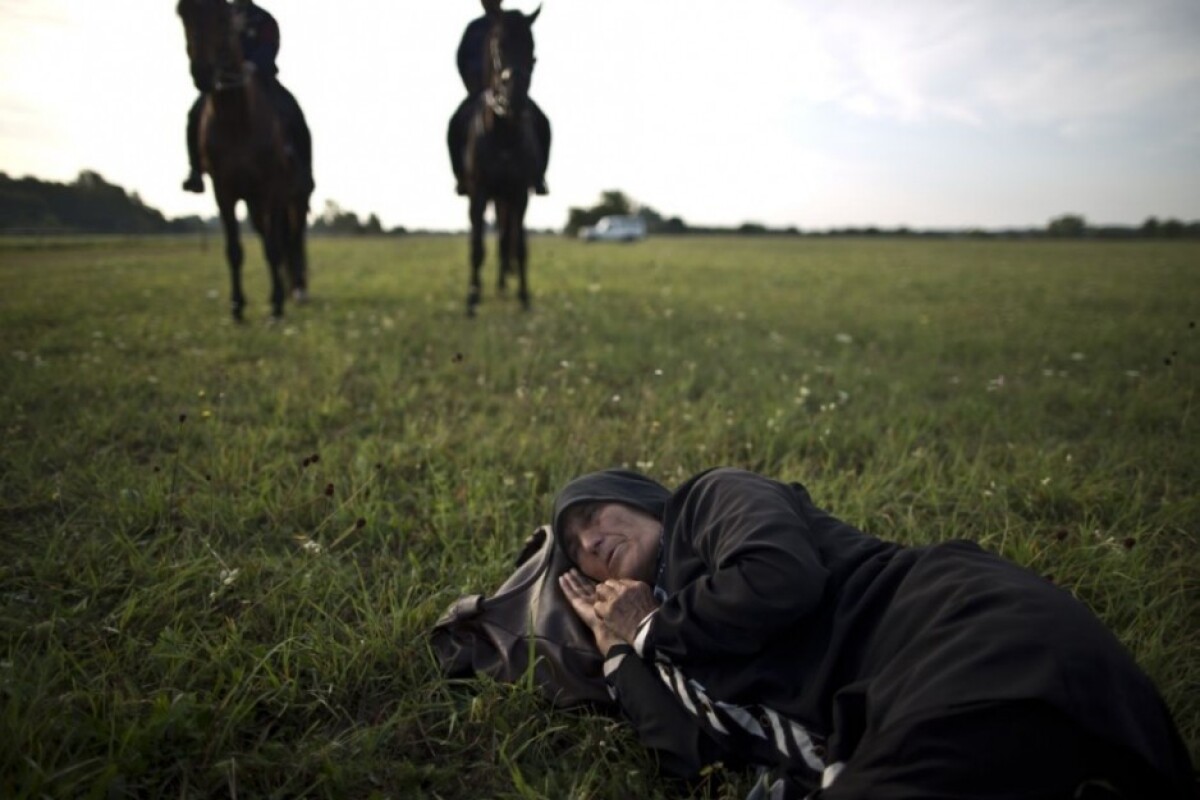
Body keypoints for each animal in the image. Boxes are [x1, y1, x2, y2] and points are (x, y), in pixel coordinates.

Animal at [176, 0, 312, 319]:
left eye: (222, 19)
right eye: (182, 15)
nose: (202, 74)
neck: (236, 120)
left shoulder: (271, 189)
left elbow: (274, 248)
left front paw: (275, 307)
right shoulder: (224, 191)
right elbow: (235, 250)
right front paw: (237, 307)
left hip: (294, 198)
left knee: (293, 239)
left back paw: (297, 290)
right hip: (254, 204)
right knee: (275, 241)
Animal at [463, 8, 544, 319]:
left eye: (532, 50)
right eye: (498, 46)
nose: (516, 97)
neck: (504, 133)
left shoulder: (519, 193)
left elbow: (519, 246)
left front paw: (524, 297)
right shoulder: (478, 193)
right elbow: (477, 246)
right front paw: (472, 299)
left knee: (506, 239)